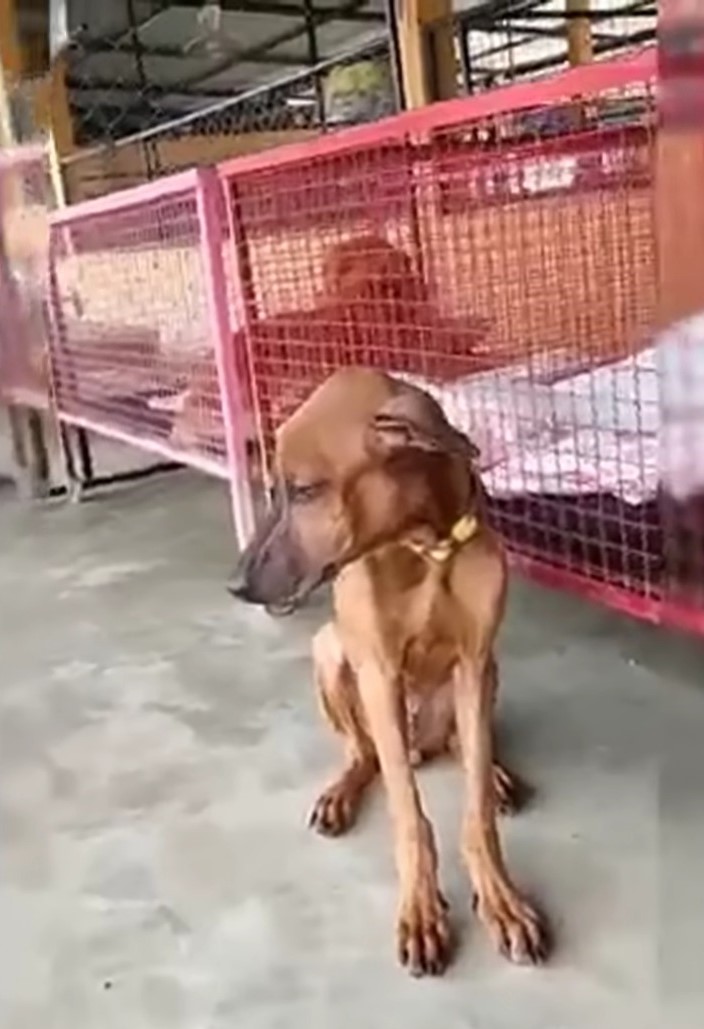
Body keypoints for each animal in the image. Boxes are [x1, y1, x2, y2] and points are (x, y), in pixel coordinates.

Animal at [230, 368, 551, 971]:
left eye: (305, 491)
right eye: (274, 488)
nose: (235, 585)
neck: (426, 550)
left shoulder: (475, 661)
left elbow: (475, 810)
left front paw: (501, 898)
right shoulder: (379, 675)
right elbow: (408, 814)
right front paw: (421, 910)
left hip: (486, 676)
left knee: (464, 746)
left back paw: (494, 773)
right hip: (330, 650)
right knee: (366, 755)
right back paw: (340, 793)